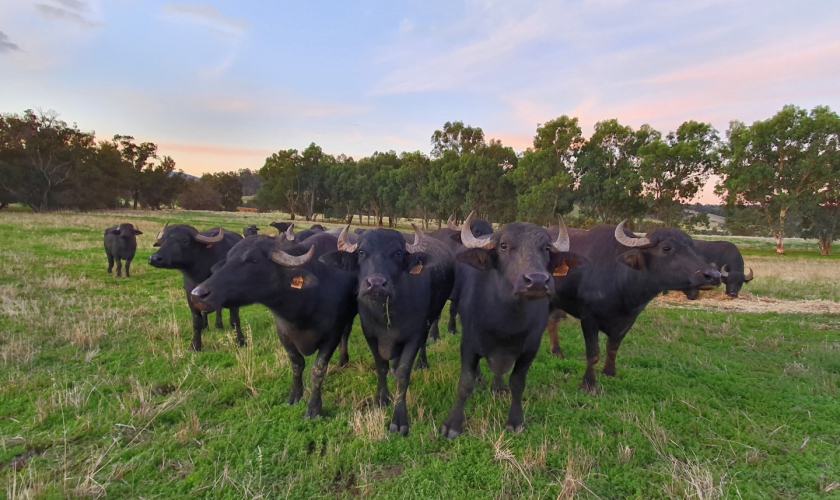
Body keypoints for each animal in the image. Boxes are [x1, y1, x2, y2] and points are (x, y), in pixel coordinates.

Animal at [148, 223, 244, 351]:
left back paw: (218, 325)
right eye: (163, 240)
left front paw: (241, 341)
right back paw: (206, 326)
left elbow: (234, 320)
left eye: (184, 240)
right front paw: (195, 345)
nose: (154, 258)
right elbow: (196, 322)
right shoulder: (191, 296)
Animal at [190, 232, 357, 418]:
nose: (198, 294)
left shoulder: (332, 335)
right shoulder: (284, 334)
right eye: (228, 258)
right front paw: (295, 396)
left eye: (253, 260)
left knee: (346, 333)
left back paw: (343, 359)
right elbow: (297, 364)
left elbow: (318, 370)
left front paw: (314, 408)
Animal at [322, 225, 455, 436]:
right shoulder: (370, 334)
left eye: (398, 253)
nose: (376, 284)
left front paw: (399, 420)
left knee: (424, 343)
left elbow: (403, 374)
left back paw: (422, 363)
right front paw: (382, 399)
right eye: (361, 252)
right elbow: (381, 367)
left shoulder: (414, 336)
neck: (387, 314)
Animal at [550, 222, 721, 393]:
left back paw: (557, 351)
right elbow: (593, 353)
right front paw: (589, 384)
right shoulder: (589, 319)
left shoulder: (628, 320)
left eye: (693, 248)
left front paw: (610, 373)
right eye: (666, 248)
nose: (714, 276)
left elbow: (613, 347)